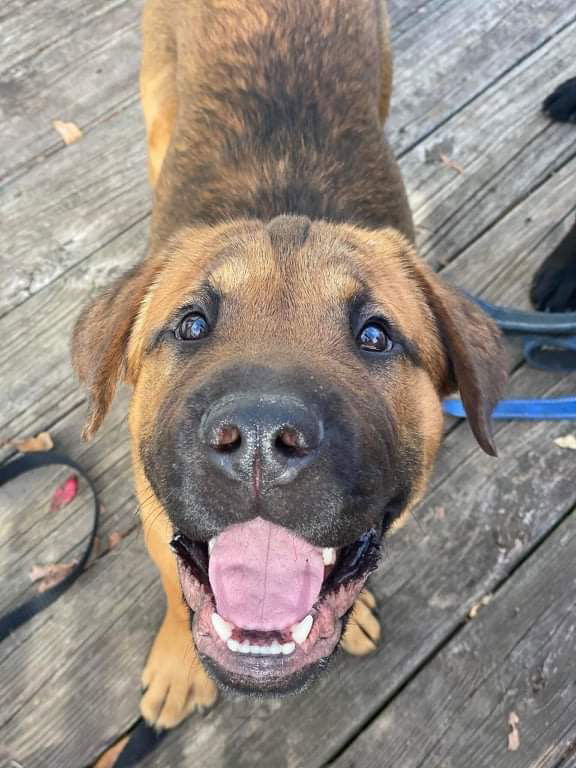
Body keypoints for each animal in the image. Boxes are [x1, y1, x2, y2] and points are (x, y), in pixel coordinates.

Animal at [71, 0, 504, 732]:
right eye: (191, 325)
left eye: (376, 336)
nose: (259, 440)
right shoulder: (158, 517)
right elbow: (175, 585)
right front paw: (178, 664)